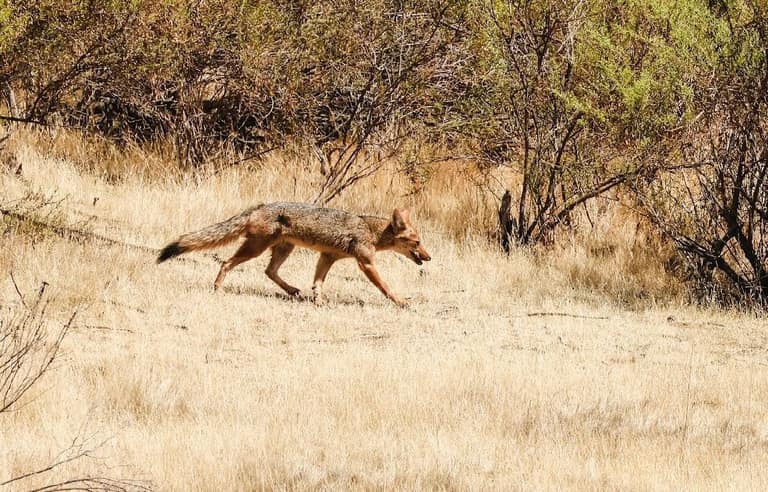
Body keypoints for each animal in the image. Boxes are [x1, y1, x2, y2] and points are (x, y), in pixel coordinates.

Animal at [156, 202, 431, 307]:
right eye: (417, 242)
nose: (429, 258)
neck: (371, 231)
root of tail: (258, 206)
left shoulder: (327, 257)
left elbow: (318, 283)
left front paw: (319, 301)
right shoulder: (366, 264)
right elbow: (385, 286)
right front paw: (400, 302)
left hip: (283, 249)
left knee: (269, 271)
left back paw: (291, 290)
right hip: (255, 249)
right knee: (226, 262)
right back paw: (217, 288)